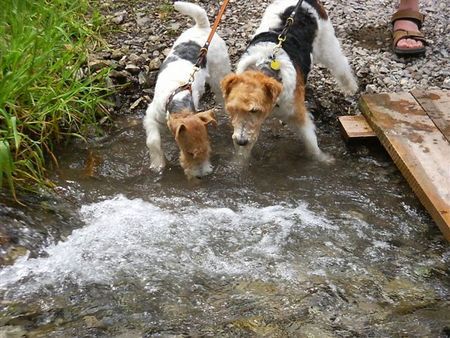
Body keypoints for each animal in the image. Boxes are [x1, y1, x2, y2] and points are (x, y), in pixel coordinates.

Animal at [143, 0, 230, 180]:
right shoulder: (151, 116)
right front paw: (158, 165)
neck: (177, 96)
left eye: (208, 149)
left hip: (219, 75)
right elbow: (153, 141)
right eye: (190, 153)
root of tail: (203, 27)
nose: (203, 175)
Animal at [220, 0, 356, 162]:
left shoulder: (299, 115)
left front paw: (324, 160)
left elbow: (312, 145)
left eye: (254, 110)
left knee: (341, 65)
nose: (241, 141)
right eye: (232, 109)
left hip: (327, 45)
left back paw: (352, 88)